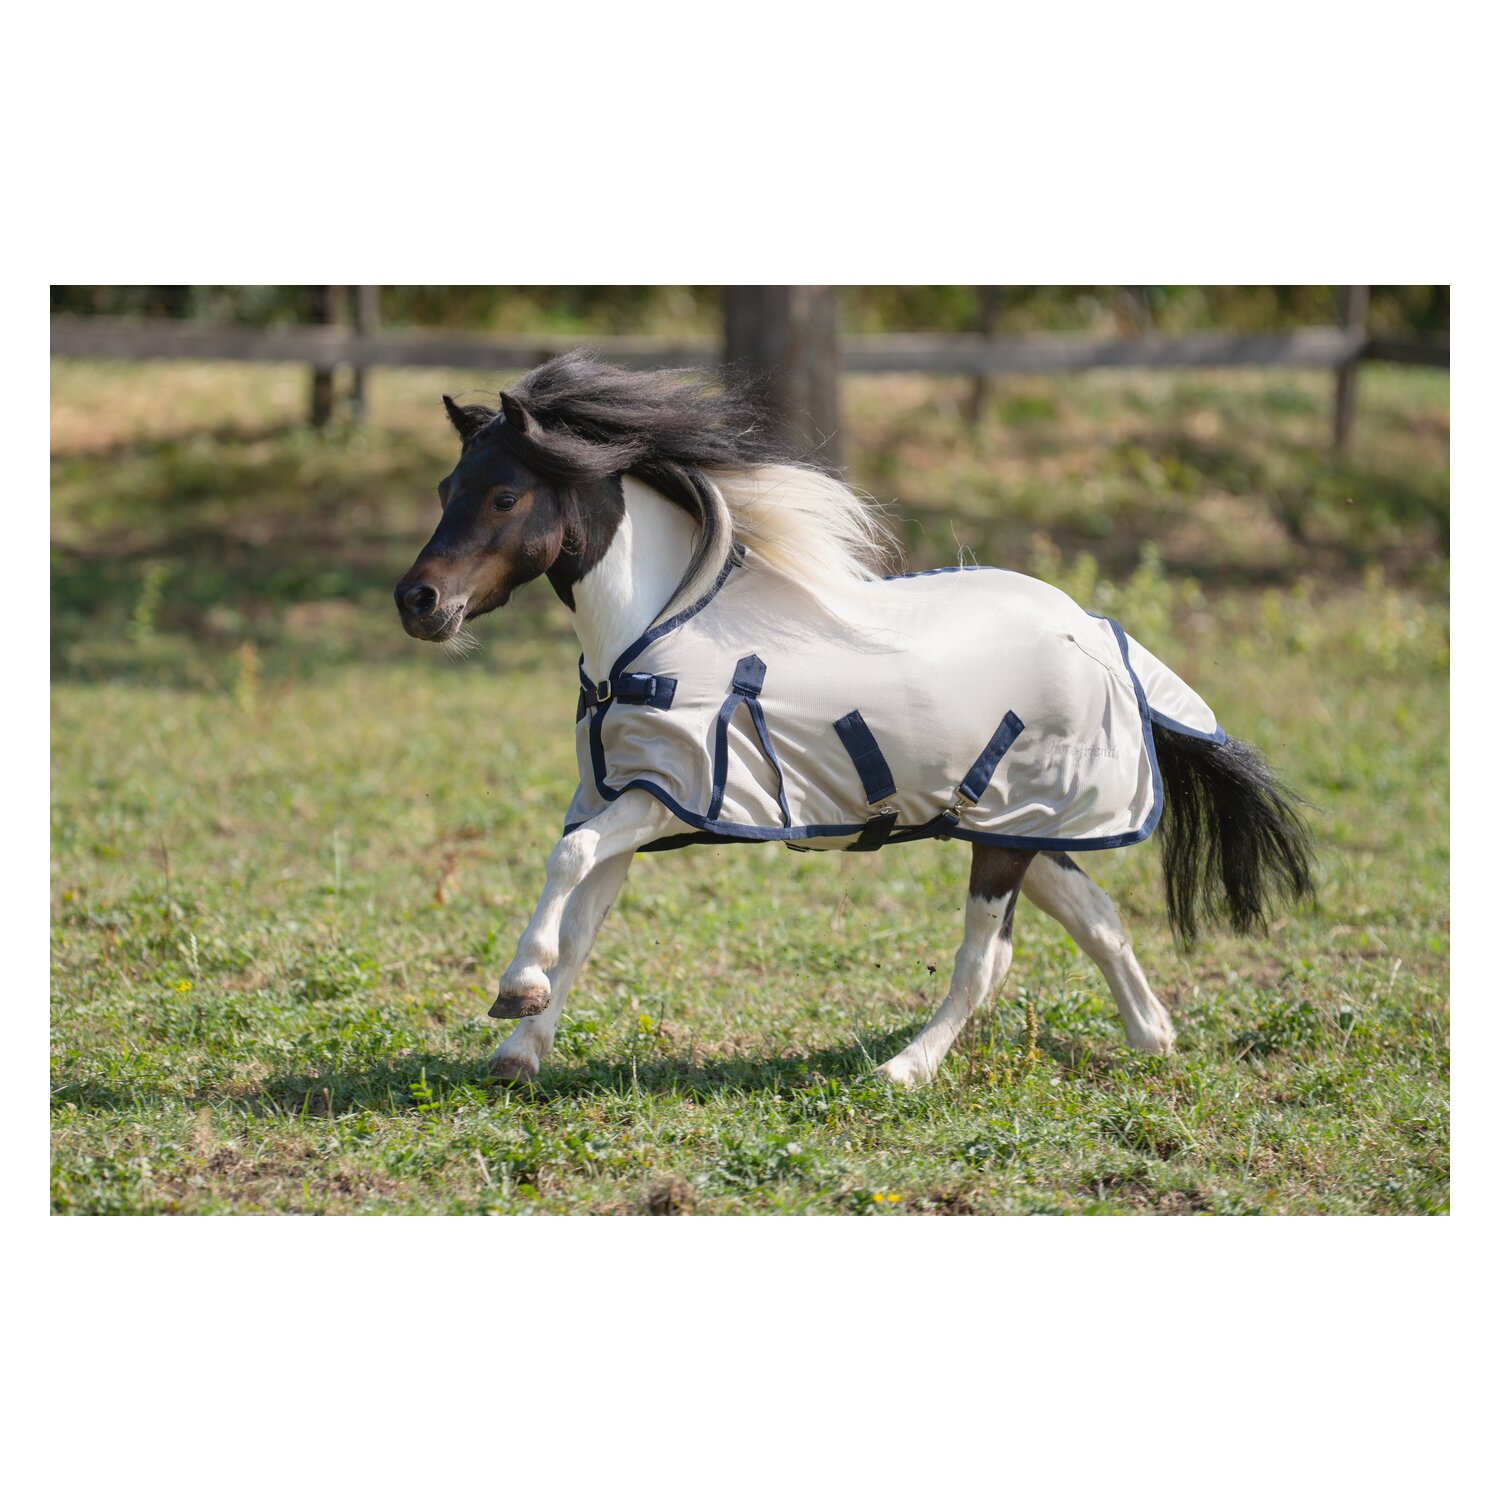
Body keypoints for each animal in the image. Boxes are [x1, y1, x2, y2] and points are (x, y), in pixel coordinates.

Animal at [395, 352, 1314, 1086]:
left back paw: (904, 1070)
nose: (418, 602)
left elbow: (568, 858)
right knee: (1098, 920)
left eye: (505, 493)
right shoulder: (621, 798)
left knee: (985, 963)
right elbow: (582, 919)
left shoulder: (666, 797)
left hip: (1004, 837)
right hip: (1018, 826)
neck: (649, 633)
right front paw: (521, 1045)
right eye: (443, 489)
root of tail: (1094, 628)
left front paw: (516, 987)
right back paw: (1151, 1038)